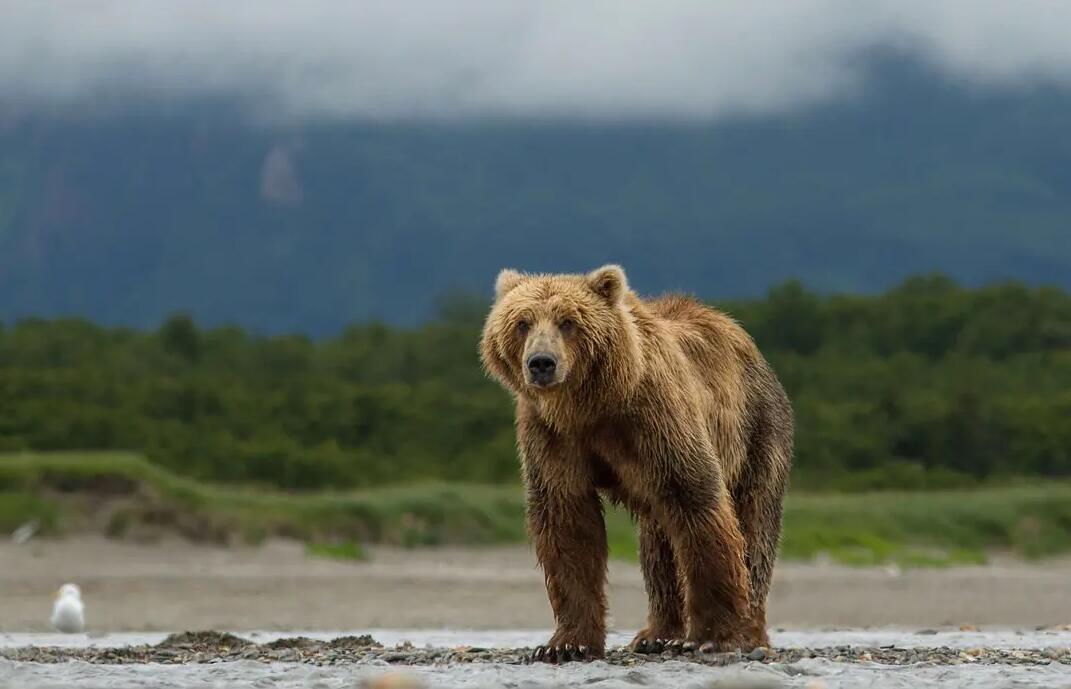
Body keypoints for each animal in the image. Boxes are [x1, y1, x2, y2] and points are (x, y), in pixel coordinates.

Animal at [481, 265, 792, 664]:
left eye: (568, 322)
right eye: (522, 322)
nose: (541, 363)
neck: (590, 406)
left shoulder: (655, 418)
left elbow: (697, 500)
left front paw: (712, 637)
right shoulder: (551, 436)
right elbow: (567, 521)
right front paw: (566, 644)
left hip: (757, 431)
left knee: (754, 525)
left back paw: (749, 633)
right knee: (658, 547)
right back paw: (656, 635)